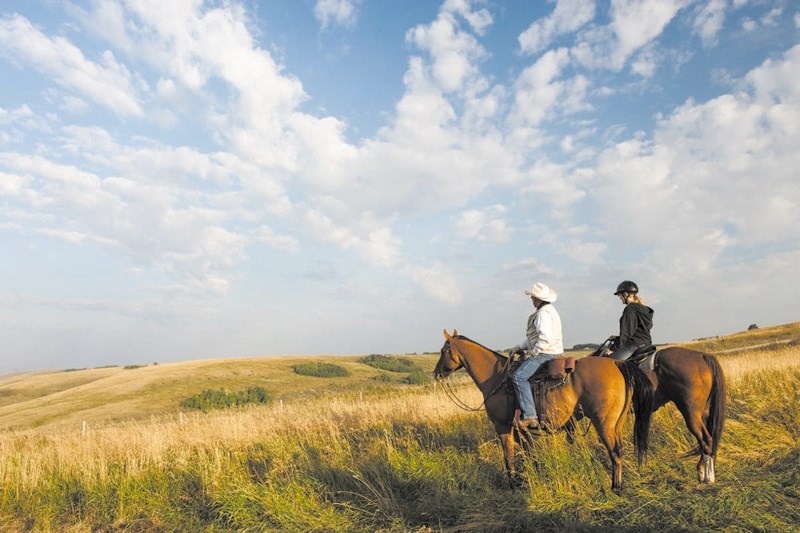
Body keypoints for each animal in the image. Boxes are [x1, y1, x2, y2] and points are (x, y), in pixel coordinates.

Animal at [434, 330, 652, 492]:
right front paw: (533, 476)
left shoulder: (502, 425)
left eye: (443, 350)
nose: (436, 374)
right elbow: (528, 454)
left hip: (604, 423)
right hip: (617, 423)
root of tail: (617, 363)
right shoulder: (520, 429)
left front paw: (513, 483)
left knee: (615, 453)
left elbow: (508, 455)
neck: (497, 378)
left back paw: (616, 488)